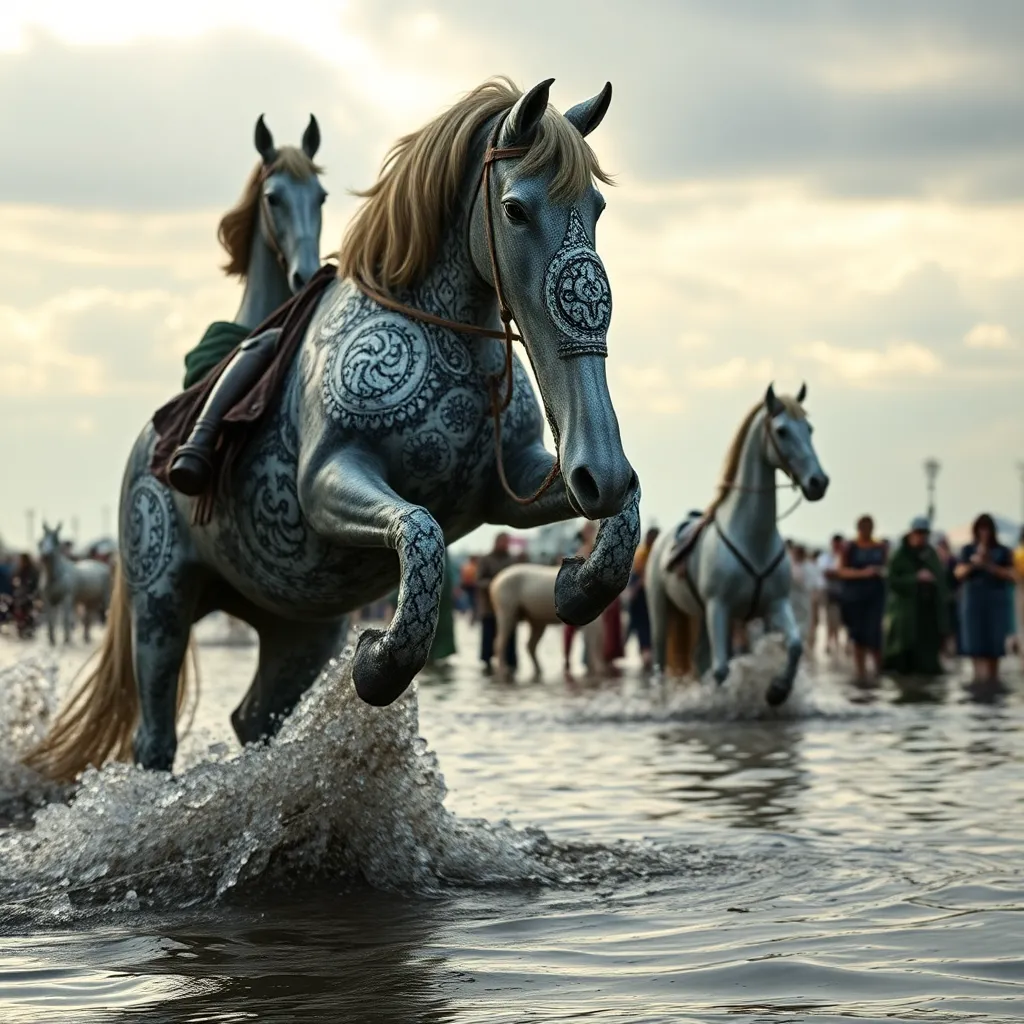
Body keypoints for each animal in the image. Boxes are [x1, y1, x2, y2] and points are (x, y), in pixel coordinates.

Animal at [28, 77, 638, 782]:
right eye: (514, 210)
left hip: (298, 623)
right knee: (154, 738)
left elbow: (624, 508)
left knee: (254, 718)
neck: (440, 331)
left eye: (596, 207)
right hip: (160, 600)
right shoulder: (325, 483)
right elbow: (420, 532)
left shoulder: (513, 488)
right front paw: (379, 663)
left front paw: (577, 584)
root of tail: (142, 451)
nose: (598, 465)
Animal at [647, 385, 831, 704]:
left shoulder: (776, 604)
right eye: (782, 431)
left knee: (699, 658)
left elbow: (795, 646)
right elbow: (722, 670)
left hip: (701, 615)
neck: (753, 539)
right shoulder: (719, 607)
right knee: (660, 663)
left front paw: (777, 690)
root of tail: (662, 540)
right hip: (663, 610)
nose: (817, 482)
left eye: (809, 428)